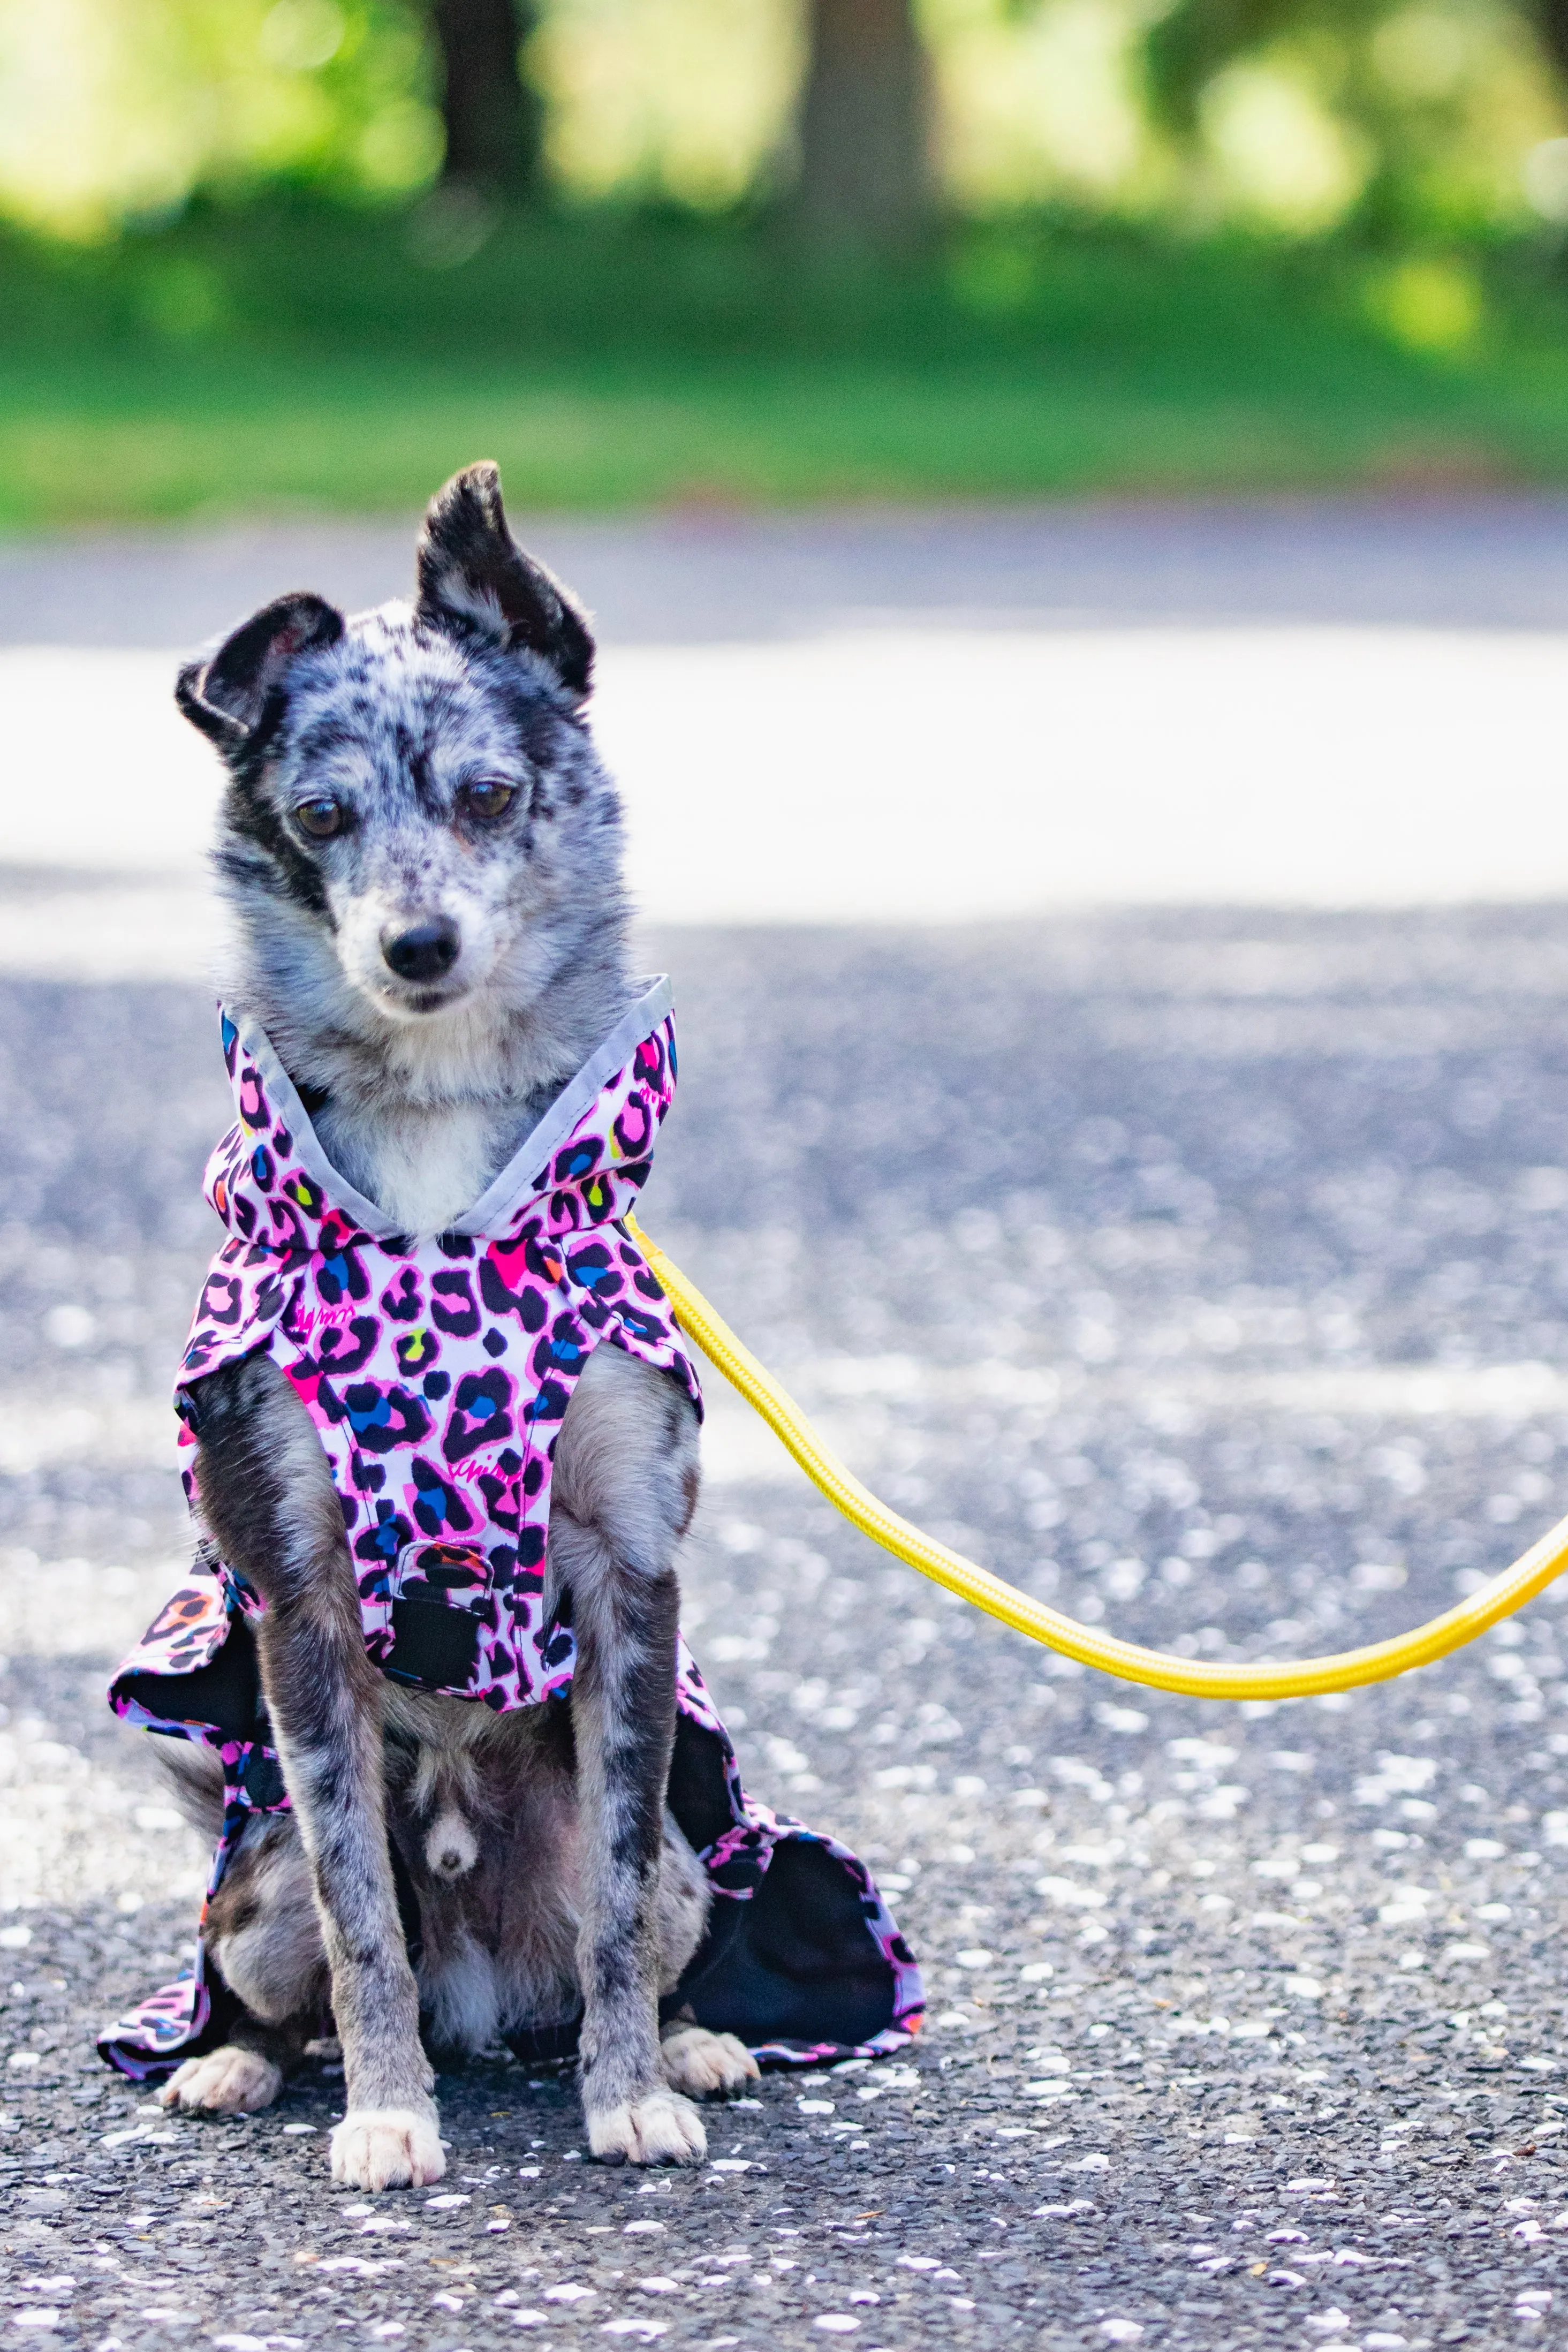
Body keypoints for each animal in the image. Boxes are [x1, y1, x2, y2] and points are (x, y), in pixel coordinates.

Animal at [147, 468, 761, 2192]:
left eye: (489, 797)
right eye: (320, 817)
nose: (416, 947)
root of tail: (485, 1983)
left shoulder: (628, 1568)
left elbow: (610, 1896)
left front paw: (630, 2094)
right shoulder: (298, 1597)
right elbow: (361, 1910)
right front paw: (386, 2112)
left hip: (696, 1859)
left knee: (640, 1920)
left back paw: (689, 2038)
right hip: (249, 1889)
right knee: (289, 1962)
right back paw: (242, 2065)